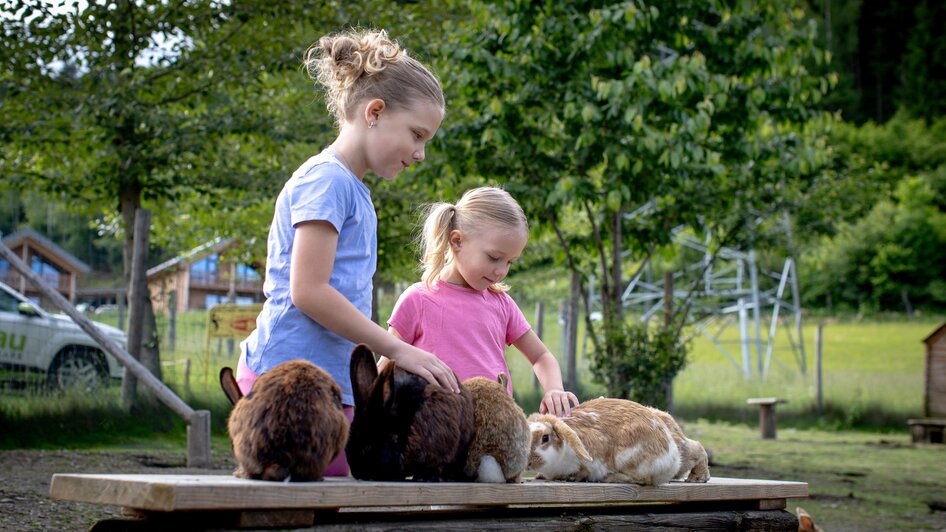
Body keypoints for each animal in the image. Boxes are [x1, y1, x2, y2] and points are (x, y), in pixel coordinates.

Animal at [524, 394, 708, 486]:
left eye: (545, 438)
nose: (528, 462)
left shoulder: (594, 459)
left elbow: (585, 469)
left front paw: (573, 477)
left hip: (629, 459)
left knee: (643, 480)